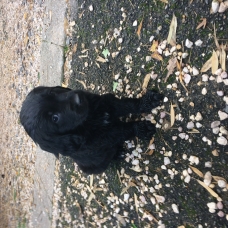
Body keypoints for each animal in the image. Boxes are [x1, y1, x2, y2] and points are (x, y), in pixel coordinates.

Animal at [19, 86, 162, 174]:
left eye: (53, 93)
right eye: (55, 118)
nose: (78, 97)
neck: (88, 119)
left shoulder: (107, 103)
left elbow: (127, 105)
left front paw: (146, 101)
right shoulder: (104, 137)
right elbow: (124, 129)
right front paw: (141, 128)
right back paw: (117, 153)